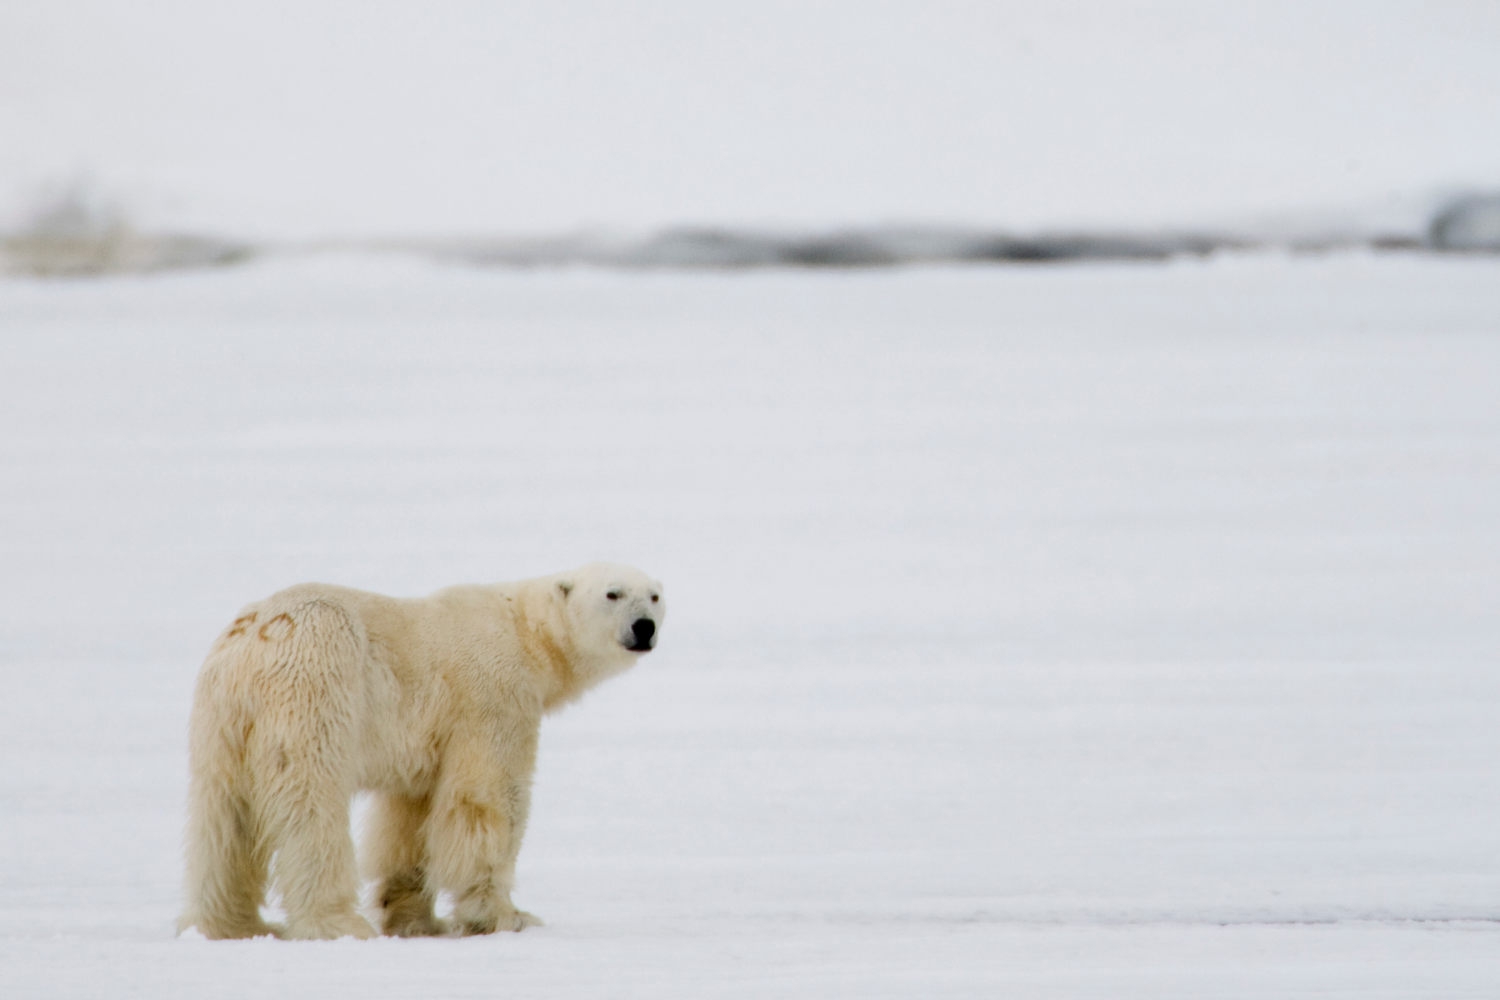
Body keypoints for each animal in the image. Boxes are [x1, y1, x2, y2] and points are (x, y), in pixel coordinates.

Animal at [178, 566, 666, 941]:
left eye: (655, 595)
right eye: (612, 593)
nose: (645, 627)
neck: (525, 633)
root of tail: (252, 642)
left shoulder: (426, 740)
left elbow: (410, 818)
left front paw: (414, 918)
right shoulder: (492, 696)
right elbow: (487, 800)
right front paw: (506, 916)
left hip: (221, 720)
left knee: (223, 817)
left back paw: (230, 924)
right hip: (315, 687)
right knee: (310, 806)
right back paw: (336, 923)